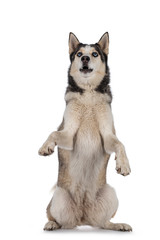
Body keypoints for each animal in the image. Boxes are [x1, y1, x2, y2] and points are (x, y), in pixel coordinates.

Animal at [38, 32, 131, 232]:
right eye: (79, 54)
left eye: (94, 54)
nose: (86, 58)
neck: (88, 95)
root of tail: (82, 218)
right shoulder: (67, 135)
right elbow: (54, 133)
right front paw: (45, 147)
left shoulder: (108, 137)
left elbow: (120, 144)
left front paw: (124, 165)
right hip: (59, 196)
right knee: (57, 219)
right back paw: (51, 224)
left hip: (110, 193)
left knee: (102, 223)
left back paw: (118, 225)